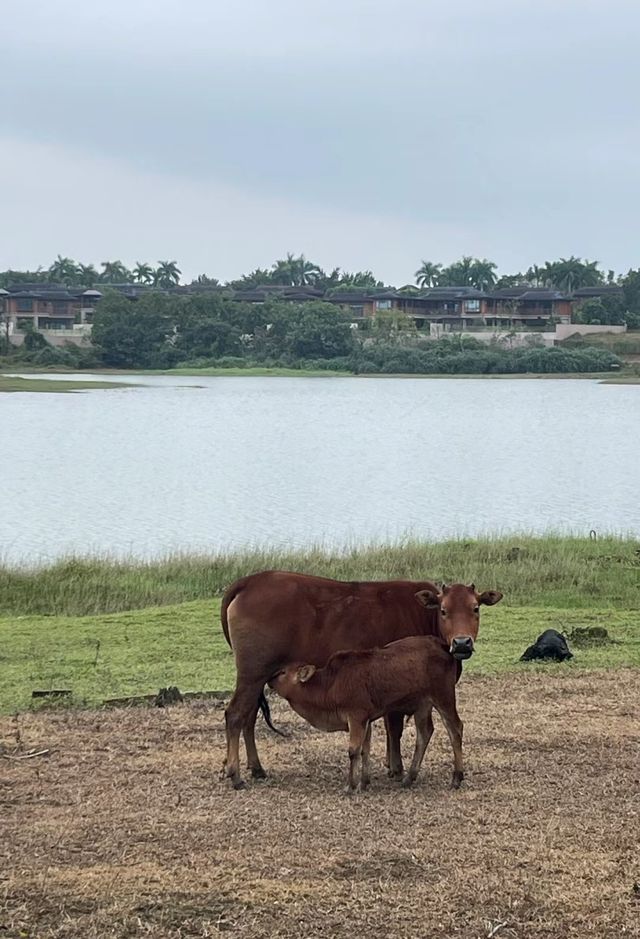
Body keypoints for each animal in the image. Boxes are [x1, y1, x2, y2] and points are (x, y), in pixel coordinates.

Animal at [268, 632, 462, 792]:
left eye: (282, 672)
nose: (269, 680)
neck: (330, 685)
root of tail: (441, 644)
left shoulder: (356, 716)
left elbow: (353, 750)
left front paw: (350, 786)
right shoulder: (366, 720)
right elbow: (365, 749)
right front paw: (363, 782)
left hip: (443, 697)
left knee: (455, 729)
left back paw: (457, 777)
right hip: (422, 704)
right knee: (425, 733)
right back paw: (409, 777)